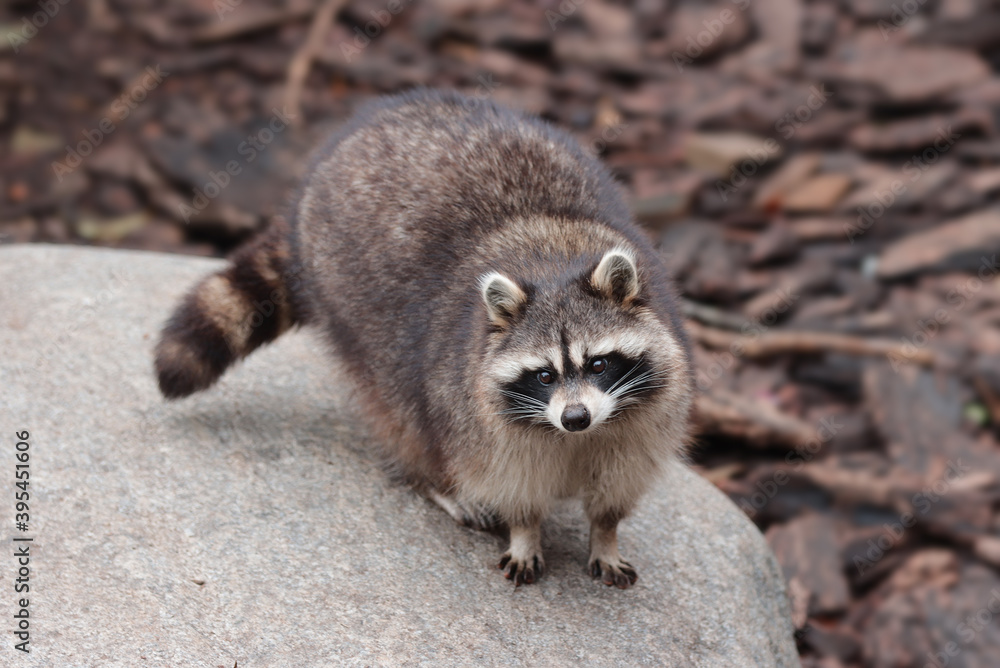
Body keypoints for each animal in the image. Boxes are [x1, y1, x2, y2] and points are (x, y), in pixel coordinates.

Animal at [155, 89, 693, 588]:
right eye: (544, 375)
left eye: (598, 364)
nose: (575, 417)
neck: (553, 263)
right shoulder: (473, 410)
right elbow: (510, 484)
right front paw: (523, 530)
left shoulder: (645, 422)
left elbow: (616, 490)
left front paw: (605, 534)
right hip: (354, 310)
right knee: (402, 413)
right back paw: (436, 480)